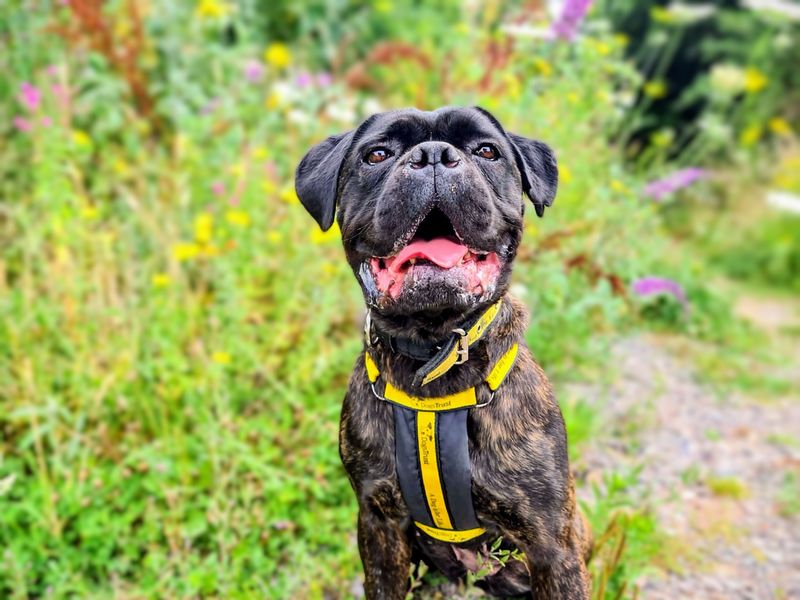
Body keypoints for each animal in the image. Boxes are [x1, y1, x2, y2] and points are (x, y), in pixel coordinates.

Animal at [296, 108, 592, 600]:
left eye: (486, 150)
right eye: (377, 154)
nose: (434, 155)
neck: (434, 353)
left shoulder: (553, 544)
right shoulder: (379, 525)